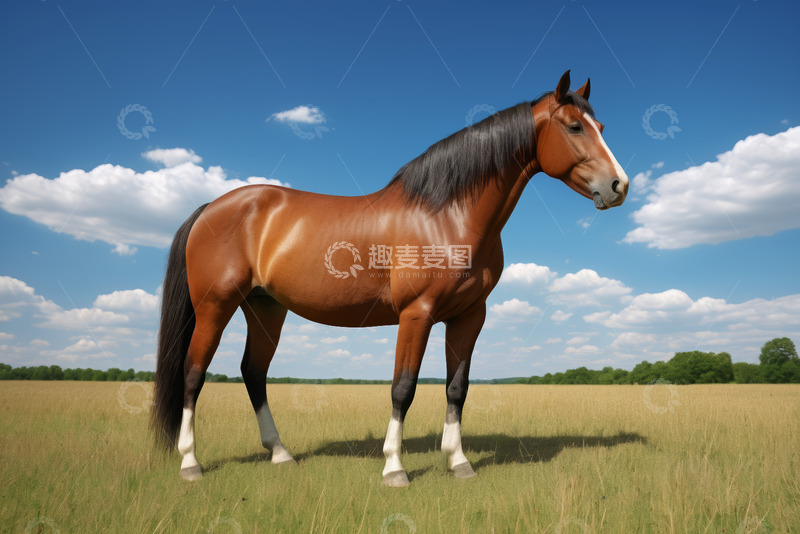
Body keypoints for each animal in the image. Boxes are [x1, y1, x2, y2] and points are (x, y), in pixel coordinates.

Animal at [151, 70, 629, 487]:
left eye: (601, 126)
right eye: (574, 126)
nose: (619, 186)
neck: (445, 215)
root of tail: (211, 206)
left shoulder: (469, 316)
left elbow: (457, 388)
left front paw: (459, 462)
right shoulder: (416, 314)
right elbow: (403, 389)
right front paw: (394, 469)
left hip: (266, 308)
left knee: (253, 372)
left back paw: (281, 454)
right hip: (216, 305)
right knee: (193, 374)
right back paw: (191, 463)